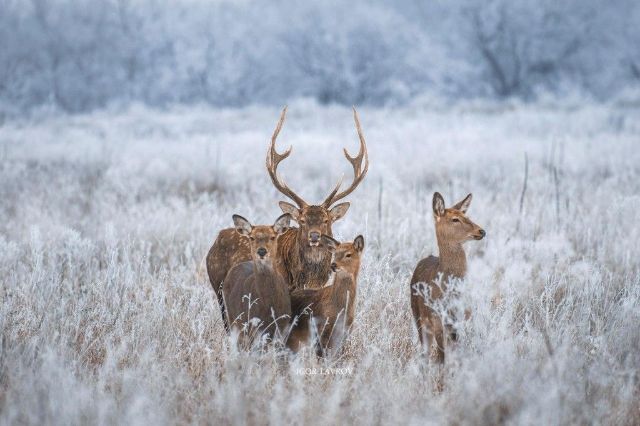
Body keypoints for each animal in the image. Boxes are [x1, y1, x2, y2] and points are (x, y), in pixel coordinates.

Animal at [208, 106, 368, 332]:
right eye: (301, 220)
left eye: (326, 220)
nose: (314, 236)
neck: (307, 277)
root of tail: (215, 241)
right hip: (219, 290)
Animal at [220, 213, 290, 350]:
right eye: (251, 237)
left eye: (273, 237)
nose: (262, 251)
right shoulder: (252, 326)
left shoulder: (283, 326)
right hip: (234, 319)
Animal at [410, 192, 484, 362]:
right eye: (455, 219)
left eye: (466, 215)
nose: (481, 231)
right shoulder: (437, 318)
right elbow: (441, 356)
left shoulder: (462, 317)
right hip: (418, 317)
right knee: (425, 353)